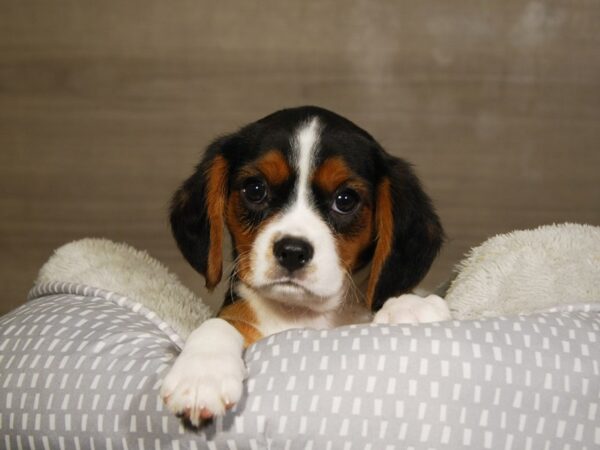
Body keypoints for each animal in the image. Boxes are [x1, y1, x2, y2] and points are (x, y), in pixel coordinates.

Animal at [159, 106, 450, 426]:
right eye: (255, 189)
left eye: (345, 199)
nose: (292, 251)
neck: (302, 313)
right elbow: (216, 324)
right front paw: (201, 374)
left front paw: (409, 306)